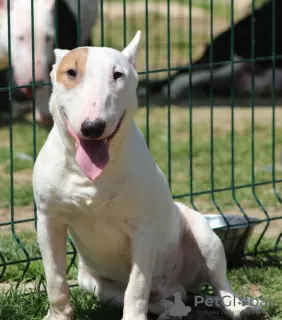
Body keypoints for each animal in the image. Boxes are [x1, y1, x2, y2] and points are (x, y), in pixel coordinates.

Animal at [32, 31, 266, 320]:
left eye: (118, 74)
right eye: (71, 72)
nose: (93, 127)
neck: (90, 174)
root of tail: (177, 285)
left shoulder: (143, 230)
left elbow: (137, 284)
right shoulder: (48, 220)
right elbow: (54, 277)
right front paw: (57, 315)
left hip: (204, 236)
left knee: (219, 283)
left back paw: (241, 309)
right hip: (95, 285)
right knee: (165, 299)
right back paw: (170, 310)